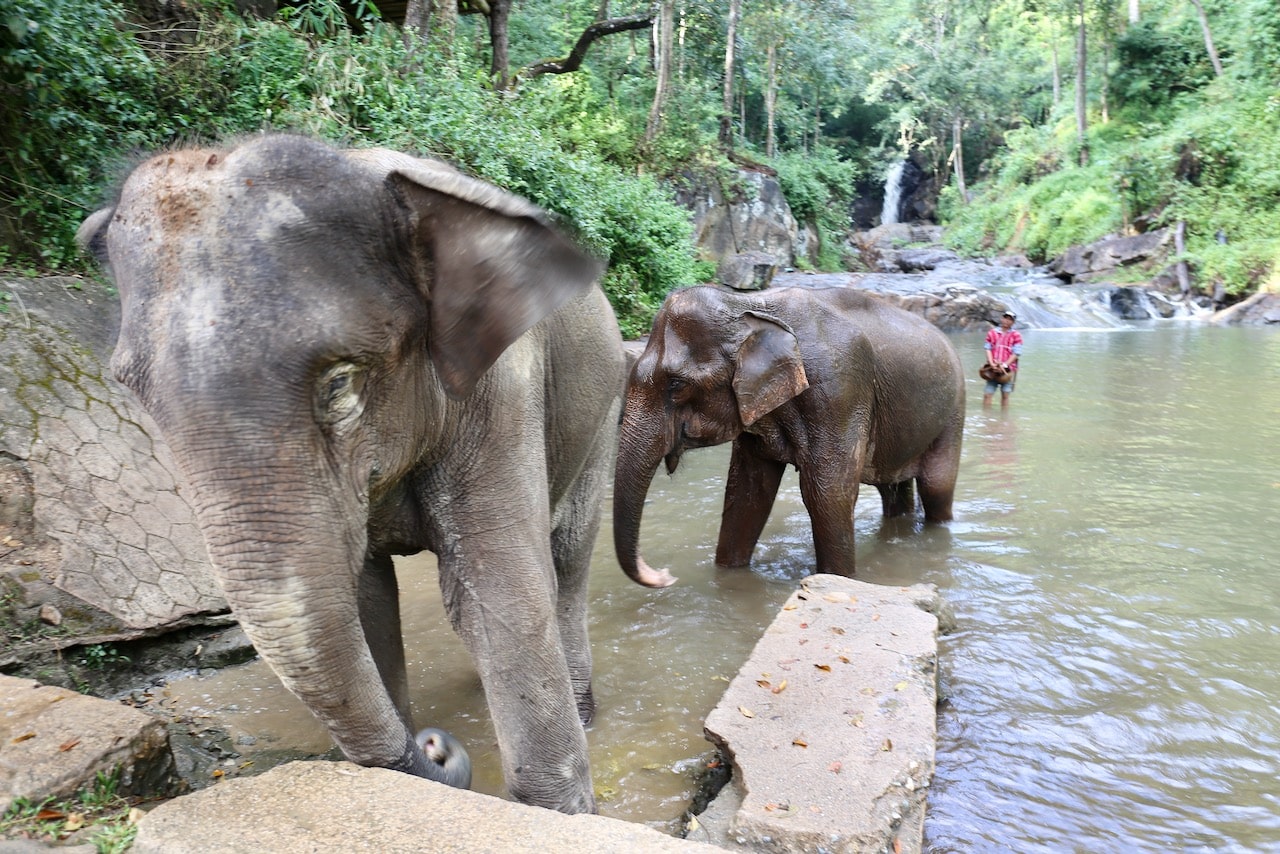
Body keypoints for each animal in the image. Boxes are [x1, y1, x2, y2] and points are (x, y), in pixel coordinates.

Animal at [77, 134, 625, 814]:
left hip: (603, 408)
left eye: (340, 382)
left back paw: (584, 708)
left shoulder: (503, 386)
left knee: (568, 557)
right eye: (135, 395)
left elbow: (498, 589)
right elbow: (364, 600)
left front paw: (559, 814)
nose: (436, 745)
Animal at [613, 285, 964, 587]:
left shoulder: (838, 391)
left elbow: (827, 495)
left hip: (954, 410)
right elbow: (748, 493)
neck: (750, 304)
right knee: (893, 489)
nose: (665, 576)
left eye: (677, 385)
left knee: (936, 485)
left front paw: (839, 580)